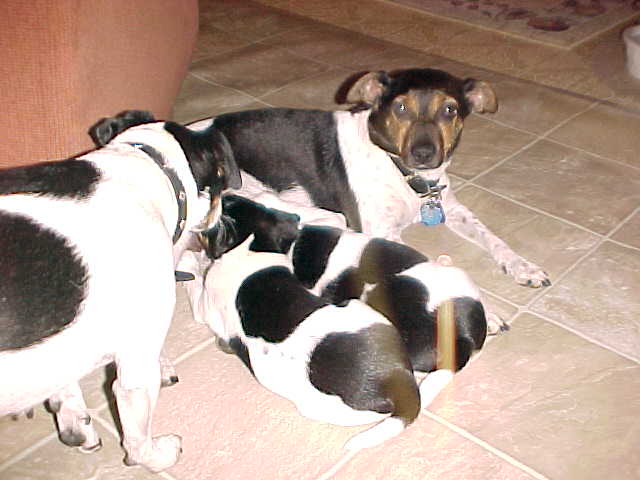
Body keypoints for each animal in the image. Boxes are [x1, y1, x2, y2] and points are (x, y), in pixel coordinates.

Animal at [186, 67, 552, 288]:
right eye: (400, 108)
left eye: (450, 110)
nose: (423, 153)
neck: (404, 173)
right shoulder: (384, 231)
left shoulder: (451, 206)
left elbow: (492, 237)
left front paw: (522, 266)